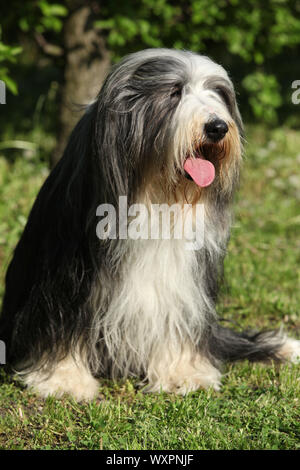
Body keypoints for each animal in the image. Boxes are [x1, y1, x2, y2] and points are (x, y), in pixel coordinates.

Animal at [0, 48, 298, 400]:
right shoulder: (65, 278)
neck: (155, 194)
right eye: (174, 92)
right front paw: (64, 379)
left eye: (219, 94)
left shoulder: (184, 285)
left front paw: (182, 373)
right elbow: (62, 323)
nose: (217, 127)